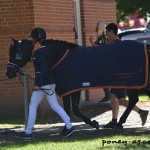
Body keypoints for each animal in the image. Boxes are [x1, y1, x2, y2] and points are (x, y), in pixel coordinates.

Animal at [5, 38, 149, 130]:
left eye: (17, 53)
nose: (9, 73)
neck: (59, 56)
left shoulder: (73, 88)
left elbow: (73, 109)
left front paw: (91, 123)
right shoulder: (68, 89)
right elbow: (68, 109)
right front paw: (69, 128)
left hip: (132, 82)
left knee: (132, 100)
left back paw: (120, 123)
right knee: (133, 100)